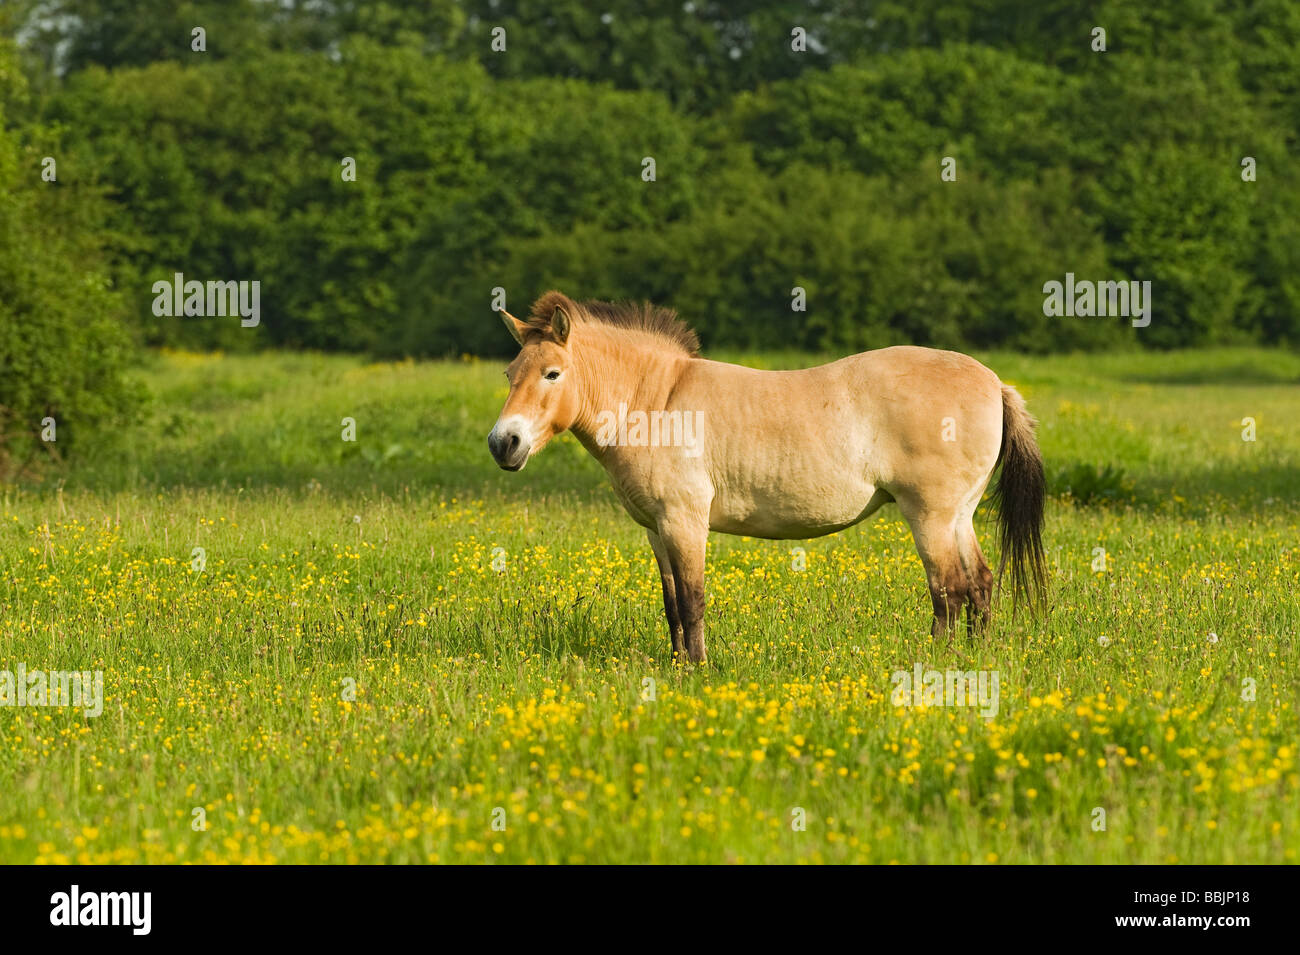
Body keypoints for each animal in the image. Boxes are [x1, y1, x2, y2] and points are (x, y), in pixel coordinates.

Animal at [488, 291, 1045, 665]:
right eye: (510, 373)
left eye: (553, 374)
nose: (503, 443)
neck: (657, 404)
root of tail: (994, 383)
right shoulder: (656, 530)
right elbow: (671, 604)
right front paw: (676, 667)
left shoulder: (685, 522)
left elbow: (692, 600)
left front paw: (698, 669)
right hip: (959, 515)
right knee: (979, 584)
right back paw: (974, 657)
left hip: (930, 516)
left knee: (949, 589)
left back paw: (937, 663)